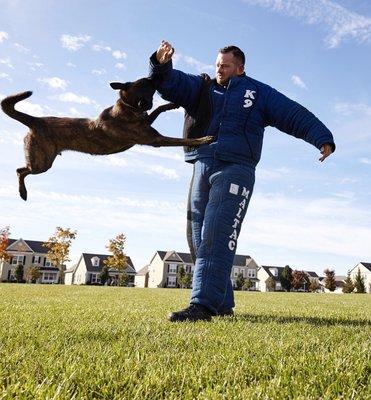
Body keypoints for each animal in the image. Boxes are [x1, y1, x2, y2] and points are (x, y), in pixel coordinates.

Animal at [1, 77, 214, 202]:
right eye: (145, 82)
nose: (154, 76)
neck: (128, 106)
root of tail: (34, 120)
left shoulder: (145, 122)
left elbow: (157, 110)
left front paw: (171, 104)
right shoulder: (155, 139)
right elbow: (181, 140)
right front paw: (203, 139)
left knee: (21, 169)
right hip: (41, 162)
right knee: (20, 171)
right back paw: (22, 193)